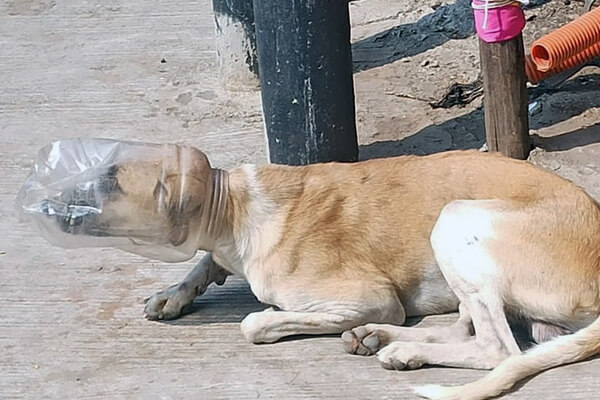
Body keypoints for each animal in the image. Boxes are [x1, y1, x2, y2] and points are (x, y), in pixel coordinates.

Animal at [56, 146, 600, 400]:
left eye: (110, 179)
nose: (52, 202)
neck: (234, 205)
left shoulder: (375, 296)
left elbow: (256, 322)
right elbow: (207, 262)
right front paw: (175, 291)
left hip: (455, 218)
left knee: (498, 349)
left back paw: (398, 345)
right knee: (470, 329)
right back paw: (382, 341)